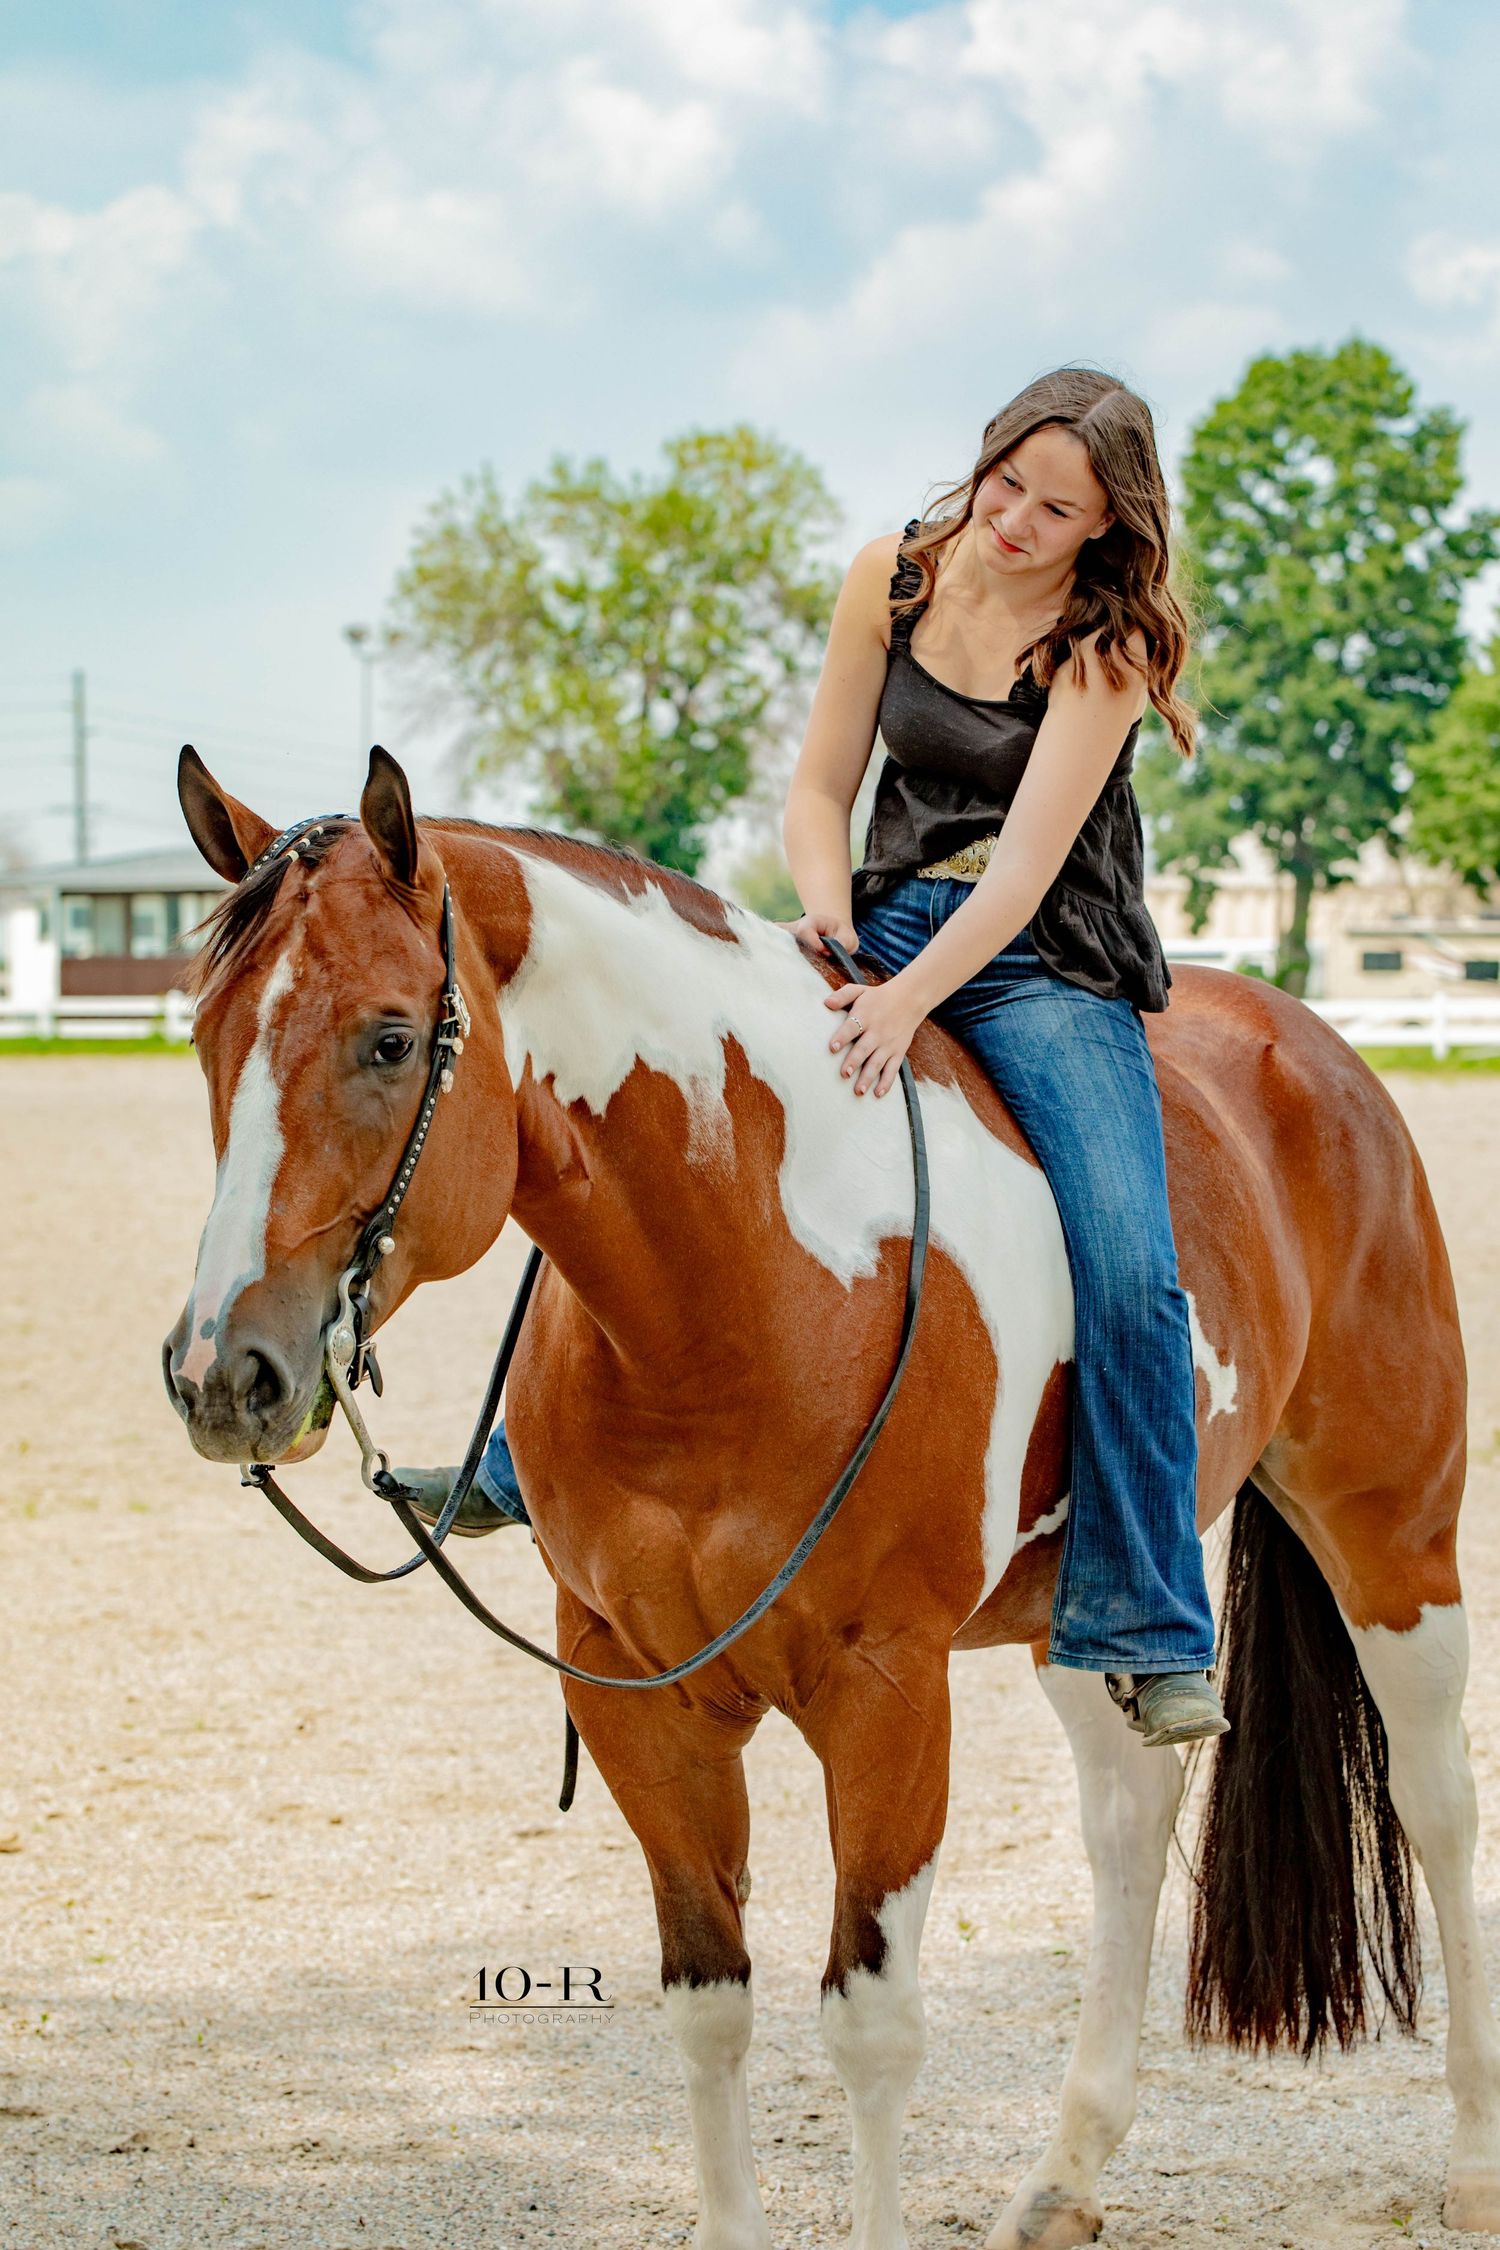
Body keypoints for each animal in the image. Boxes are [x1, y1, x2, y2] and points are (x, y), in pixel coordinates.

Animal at [164, 745, 1500, 2249]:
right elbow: (709, 2005)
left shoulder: (885, 1695)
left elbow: (870, 2024)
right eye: (208, 1037)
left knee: (1438, 1801)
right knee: (1130, 1815)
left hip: (1394, 1541)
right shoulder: (634, 1693)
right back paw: (1065, 2177)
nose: (222, 1374)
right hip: (1085, 1604)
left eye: (391, 1040)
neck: (742, 1282)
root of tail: (1314, 1047)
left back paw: (1469, 2160)